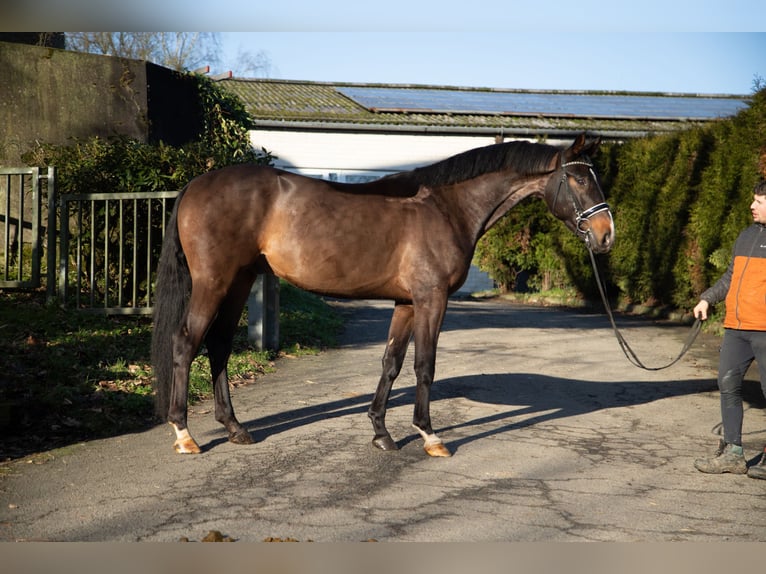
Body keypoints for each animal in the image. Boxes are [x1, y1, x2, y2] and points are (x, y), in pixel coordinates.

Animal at [153, 135, 616, 460]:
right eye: (578, 178)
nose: (606, 235)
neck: (446, 207)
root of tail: (196, 184)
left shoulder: (407, 303)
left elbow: (391, 363)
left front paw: (381, 433)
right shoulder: (431, 300)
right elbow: (424, 366)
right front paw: (430, 436)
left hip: (239, 282)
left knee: (218, 346)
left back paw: (235, 429)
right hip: (214, 282)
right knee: (186, 342)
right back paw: (184, 434)